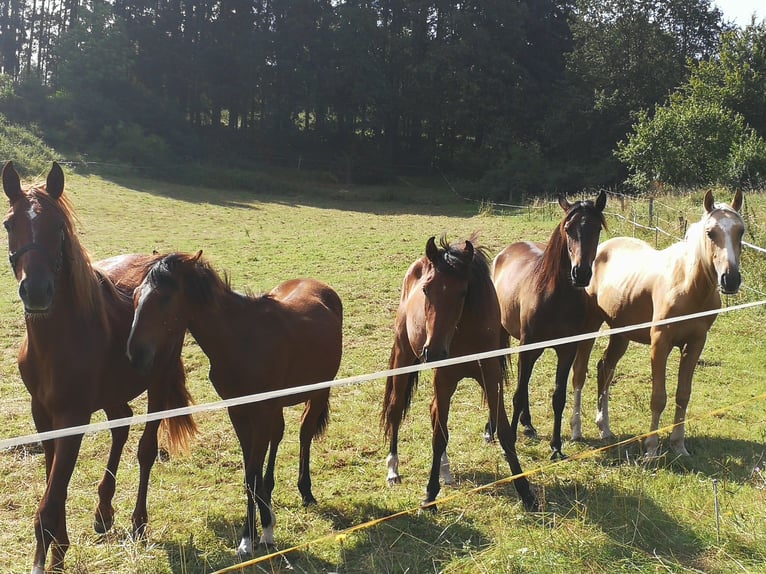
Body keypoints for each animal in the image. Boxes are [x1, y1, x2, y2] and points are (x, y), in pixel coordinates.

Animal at [2, 163, 198, 574]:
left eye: (58, 226)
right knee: (121, 424)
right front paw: (59, 548)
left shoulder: (73, 416)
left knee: (145, 448)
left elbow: (50, 499)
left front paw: (49, 557)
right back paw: (103, 512)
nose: (37, 291)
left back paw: (138, 522)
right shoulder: (42, 414)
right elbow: (54, 484)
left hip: (157, 382)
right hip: (112, 392)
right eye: (10, 224)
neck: (59, 339)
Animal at [127, 253, 344, 560]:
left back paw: (305, 491)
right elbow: (249, 473)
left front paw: (250, 536)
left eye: (165, 298)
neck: (241, 341)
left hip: (318, 392)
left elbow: (252, 473)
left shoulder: (261, 411)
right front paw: (263, 526)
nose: (136, 354)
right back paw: (270, 491)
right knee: (277, 437)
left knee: (304, 435)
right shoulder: (239, 412)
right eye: (135, 295)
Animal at [380, 236, 536, 516]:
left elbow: (505, 431)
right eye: (426, 290)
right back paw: (393, 469)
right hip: (403, 356)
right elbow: (439, 436)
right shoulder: (444, 378)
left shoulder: (491, 377)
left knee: (432, 412)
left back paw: (444, 470)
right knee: (396, 409)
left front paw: (525, 492)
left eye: (462, 292)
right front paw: (429, 496)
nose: (433, 352)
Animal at [496, 191, 608, 462]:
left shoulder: (566, 350)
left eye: (597, 228)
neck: (555, 296)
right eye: (568, 228)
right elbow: (517, 393)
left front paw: (556, 446)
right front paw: (509, 445)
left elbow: (558, 396)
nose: (580, 273)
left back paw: (527, 424)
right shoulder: (528, 346)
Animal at [572, 190, 748, 460]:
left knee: (605, 369)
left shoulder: (695, 344)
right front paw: (652, 449)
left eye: (741, 231)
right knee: (580, 374)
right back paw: (577, 431)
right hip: (589, 328)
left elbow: (683, 395)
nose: (730, 279)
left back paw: (605, 428)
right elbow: (658, 397)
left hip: (621, 334)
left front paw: (679, 446)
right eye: (710, 232)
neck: (687, 286)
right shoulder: (660, 343)